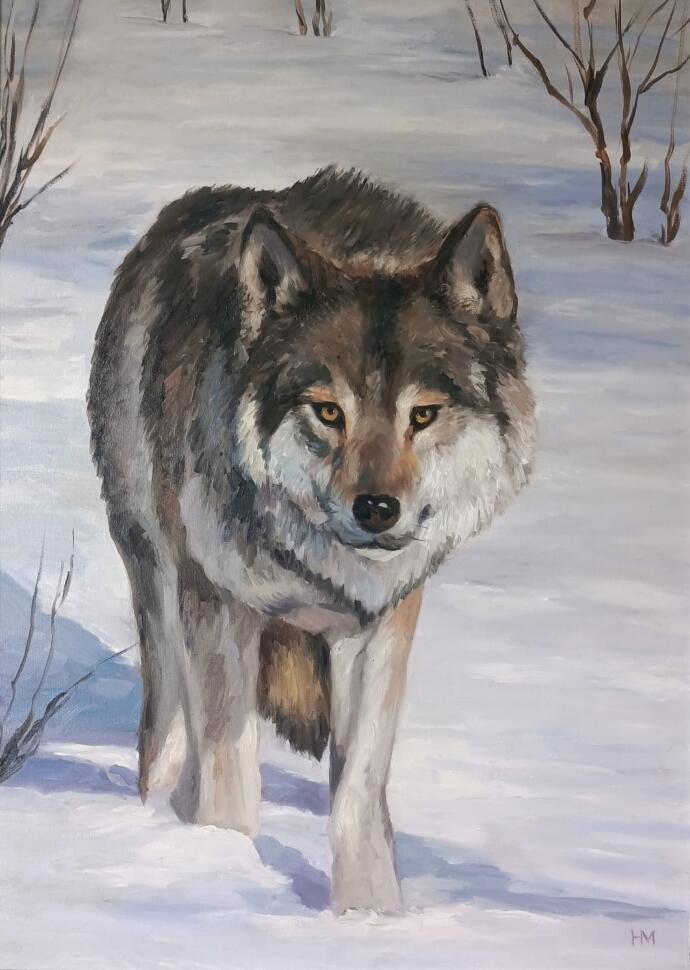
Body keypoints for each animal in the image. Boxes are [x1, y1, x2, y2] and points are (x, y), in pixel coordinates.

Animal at [87, 166, 535, 914]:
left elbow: (356, 799)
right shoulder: (220, 608)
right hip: (159, 581)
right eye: (328, 411)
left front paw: (369, 918)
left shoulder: (379, 628)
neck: (311, 560)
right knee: (167, 733)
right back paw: (158, 827)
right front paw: (223, 873)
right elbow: (230, 777)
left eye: (423, 415)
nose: (377, 509)